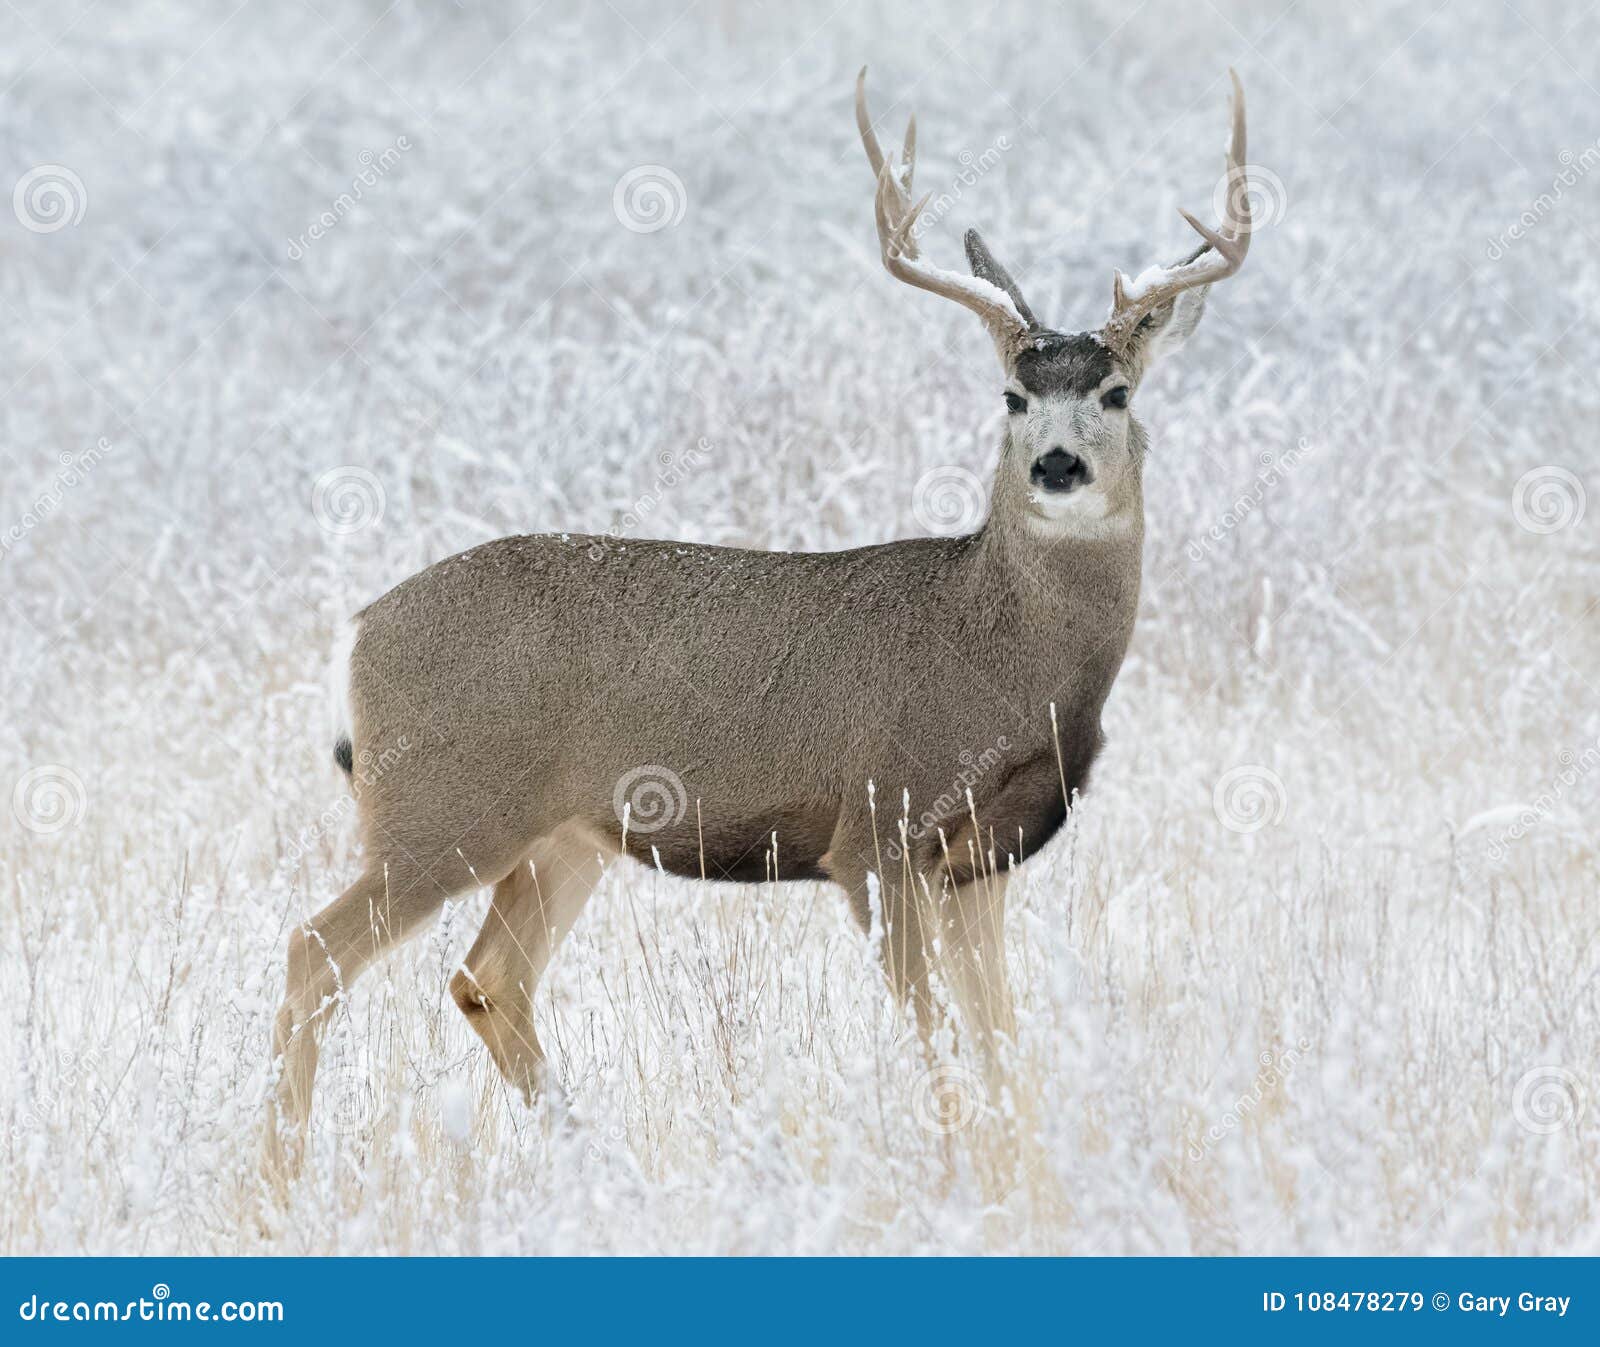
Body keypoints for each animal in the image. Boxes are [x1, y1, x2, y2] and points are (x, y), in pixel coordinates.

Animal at [262, 65, 1248, 1177]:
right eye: (1010, 396)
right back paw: (280, 1179)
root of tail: (357, 630)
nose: (1058, 465)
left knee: (485, 979)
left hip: (561, 833)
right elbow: (940, 1037)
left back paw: (591, 1162)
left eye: (1115, 393)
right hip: (439, 808)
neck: (1003, 654)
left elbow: (1002, 1039)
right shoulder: (876, 831)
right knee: (315, 951)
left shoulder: (980, 862)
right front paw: (964, 1171)